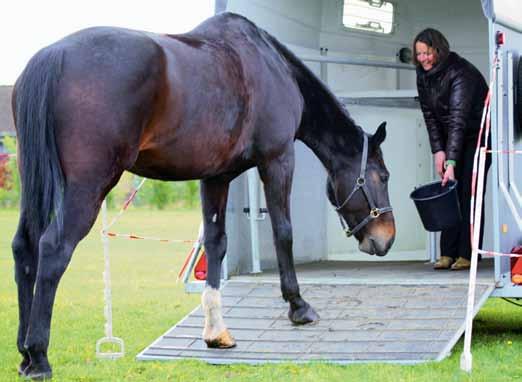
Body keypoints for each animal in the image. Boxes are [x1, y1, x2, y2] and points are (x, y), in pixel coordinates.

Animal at [11, 11, 394, 380]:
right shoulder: (277, 160)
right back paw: (39, 357)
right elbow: (283, 232)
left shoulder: (215, 178)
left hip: (37, 185)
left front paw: (216, 332)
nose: (386, 238)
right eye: (383, 176)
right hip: (87, 186)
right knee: (53, 249)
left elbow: (216, 243)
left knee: (24, 248)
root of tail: (53, 55)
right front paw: (298, 306)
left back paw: (24, 353)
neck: (269, 66)